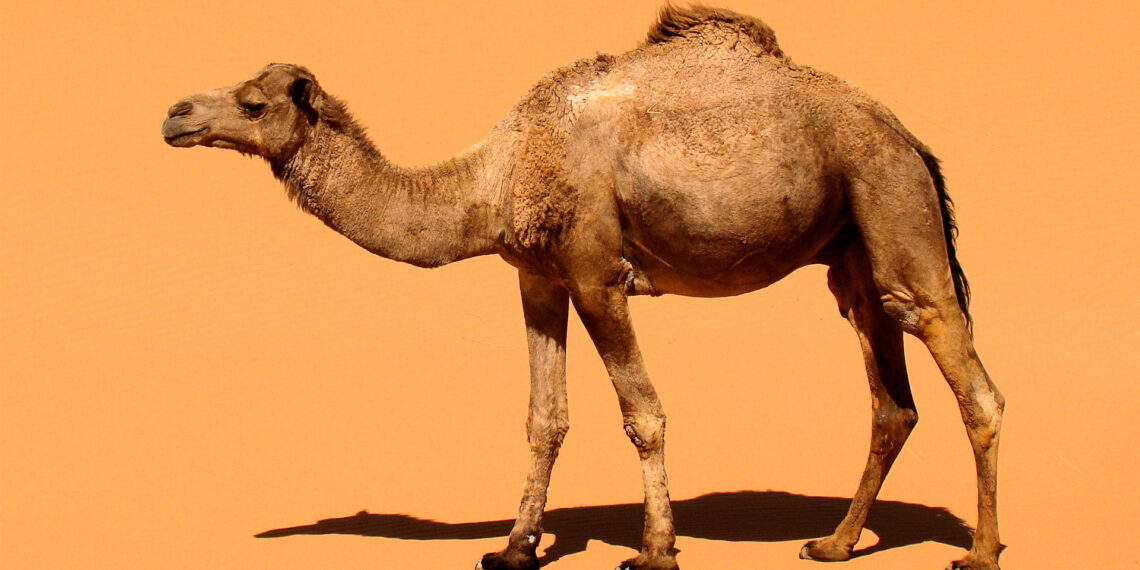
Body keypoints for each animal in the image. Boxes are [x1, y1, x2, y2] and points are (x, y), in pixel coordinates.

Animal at [162, 5, 1004, 569]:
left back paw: (980, 552)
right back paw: (833, 543)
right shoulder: (537, 275)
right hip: (853, 257)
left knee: (971, 380)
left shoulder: (599, 273)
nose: (175, 113)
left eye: (254, 102)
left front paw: (656, 550)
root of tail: (910, 137)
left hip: (897, 211)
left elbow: (644, 414)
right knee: (891, 402)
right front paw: (514, 548)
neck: (495, 176)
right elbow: (546, 418)